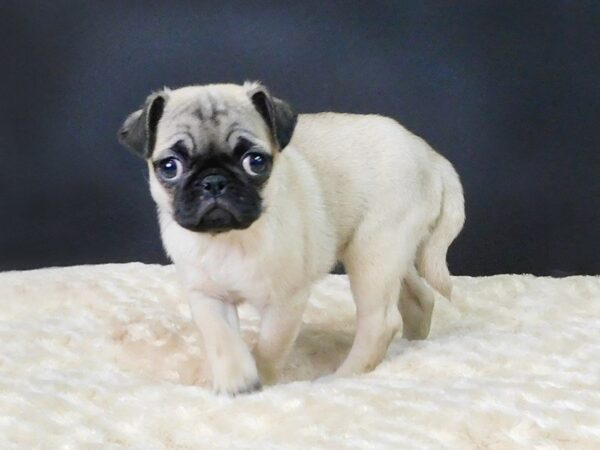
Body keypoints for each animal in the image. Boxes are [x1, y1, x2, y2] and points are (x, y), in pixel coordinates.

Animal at [117, 81, 464, 394]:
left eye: (255, 162)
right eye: (170, 167)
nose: (214, 181)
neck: (229, 239)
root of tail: (431, 157)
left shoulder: (285, 303)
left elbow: (269, 348)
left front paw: (260, 379)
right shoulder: (206, 296)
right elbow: (222, 339)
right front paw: (234, 379)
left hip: (373, 254)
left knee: (379, 322)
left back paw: (344, 376)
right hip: (393, 254)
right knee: (419, 298)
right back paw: (410, 346)